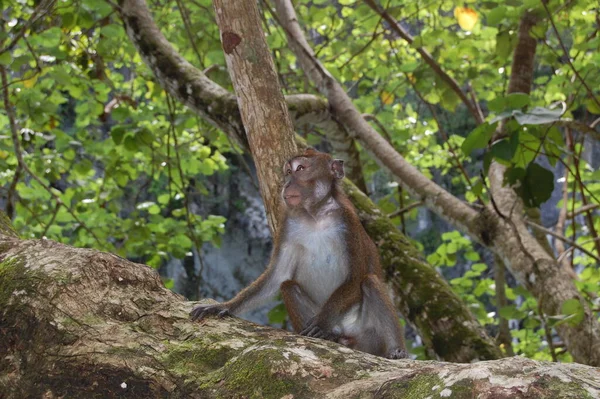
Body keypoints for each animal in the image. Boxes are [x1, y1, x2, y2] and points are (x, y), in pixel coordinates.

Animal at [192, 148, 408, 360]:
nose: (287, 184)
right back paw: (329, 337)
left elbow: (355, 277)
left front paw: (321, 323)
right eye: (288, 172)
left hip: (369, 337)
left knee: (369, 281)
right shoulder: (288, 222)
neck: (315, 215)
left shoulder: (348, 222)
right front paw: (224, 306)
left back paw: (395, 351)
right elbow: (277, 275)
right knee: (287, 285)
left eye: (300, 169)